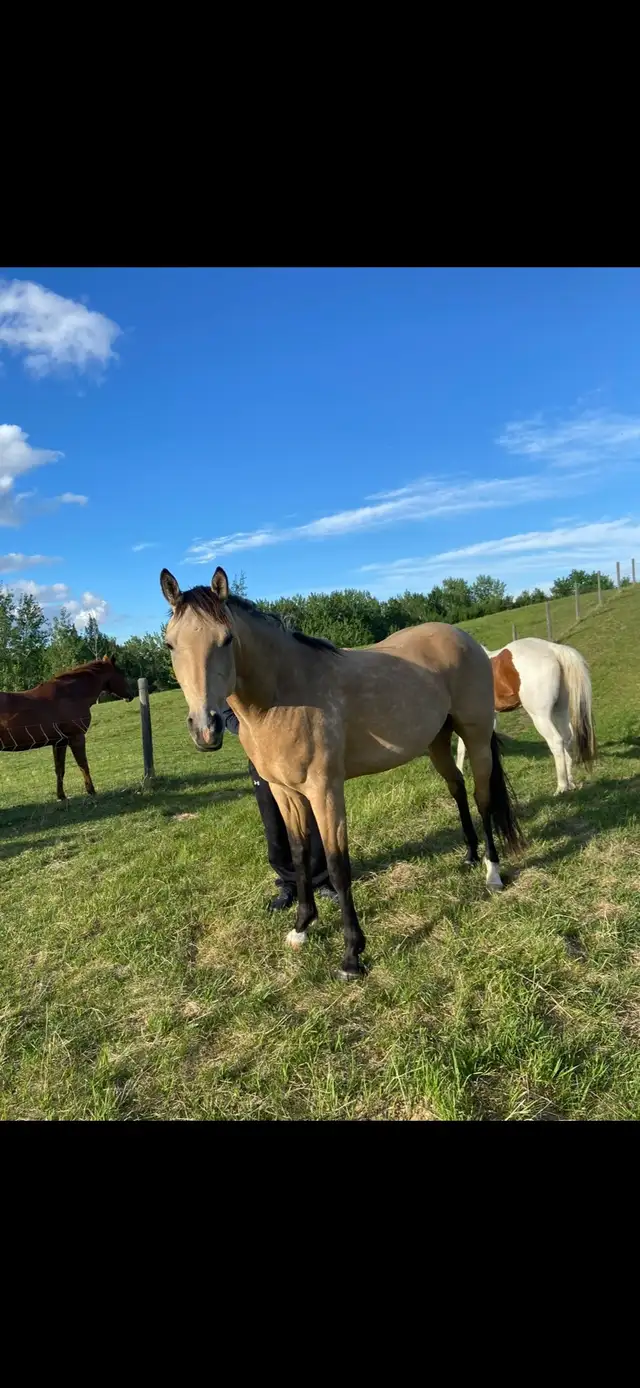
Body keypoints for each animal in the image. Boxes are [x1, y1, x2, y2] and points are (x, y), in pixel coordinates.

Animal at [0, 656, 133, 800]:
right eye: (121, 674)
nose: (131, 695)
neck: (70, 695)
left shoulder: (60, 742)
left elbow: (60, 769)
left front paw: (61, 796)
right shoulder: (76, 737)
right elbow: (83, 765)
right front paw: (91, 790)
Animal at [160, 565, 524, 980]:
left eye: (226, 639)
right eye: (170, 644)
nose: (206, 729)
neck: (284, 695)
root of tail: (465, 638)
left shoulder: (325, 791)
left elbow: (337, 866)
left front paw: (352, 955)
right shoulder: (286, 792)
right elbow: (300, 855)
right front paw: (301, 928)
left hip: (475, 737)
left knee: (482, 799)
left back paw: (492, 873)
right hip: (435, 741)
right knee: (457, 788)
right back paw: (468, 855)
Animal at [456, 637, 596, 795]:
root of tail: (553, 649)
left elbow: (462, 748)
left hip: (540, 716)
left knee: (556, 741)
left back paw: (561, 787)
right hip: (560, 710)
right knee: (567, 738)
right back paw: (570, 783)